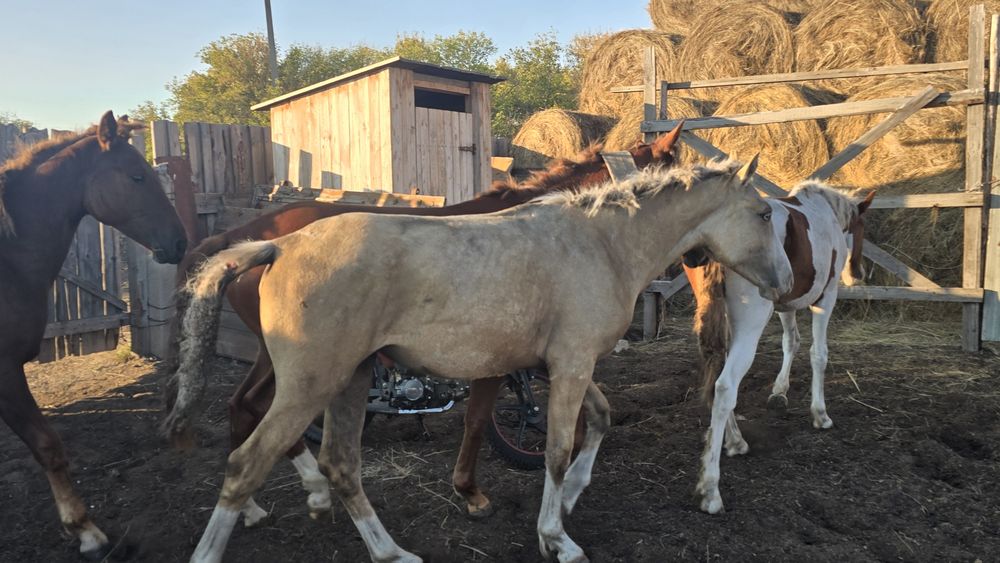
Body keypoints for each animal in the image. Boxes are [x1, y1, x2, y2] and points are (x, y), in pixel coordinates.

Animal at [166, 157, 794, 563]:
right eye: (765, 215)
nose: (785, 283)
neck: (601, 244)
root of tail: (277, 246)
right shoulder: (569, 365)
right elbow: (556, 448)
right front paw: (556, 537)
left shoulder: (559, 365)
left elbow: (599, 421)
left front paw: (568, 500)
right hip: (309, 384)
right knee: (247, 463)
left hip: (349, 381)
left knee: (340, 464)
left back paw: (391, 551)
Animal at [686, 182, 875, 515]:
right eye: (862, 228)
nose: (858, 274)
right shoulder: (825, 299)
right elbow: (818, 355)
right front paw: (820, 414)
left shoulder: (785, 303)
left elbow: (791, 342)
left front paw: (779, 391)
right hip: (750, 322)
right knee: (725, 387)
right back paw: (710, 489)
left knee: (719, 376)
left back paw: (735, 442)